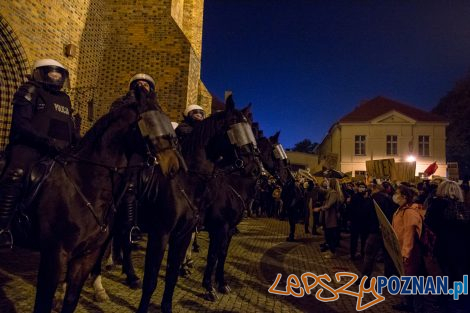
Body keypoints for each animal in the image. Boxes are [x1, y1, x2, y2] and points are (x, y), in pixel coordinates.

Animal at [135, 96, 264, 310]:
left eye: (251, 132)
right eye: (234, 127)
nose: (255, 168)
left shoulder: (217, 230)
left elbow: (221, 255)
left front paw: (220, 284)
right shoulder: (213, 228)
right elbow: (212, 256)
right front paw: (210, 288)